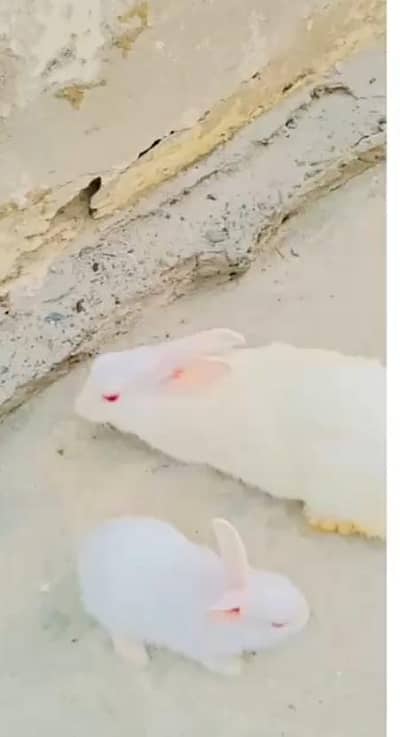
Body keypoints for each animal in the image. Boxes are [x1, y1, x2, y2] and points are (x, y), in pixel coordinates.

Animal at [78, 515, 310, 674]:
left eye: (286, 580)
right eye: (278, 624)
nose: (306, 616)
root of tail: (88, 549)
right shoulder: (205, 650)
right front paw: (235, 667)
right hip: (120, 619)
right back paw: (137, 657)